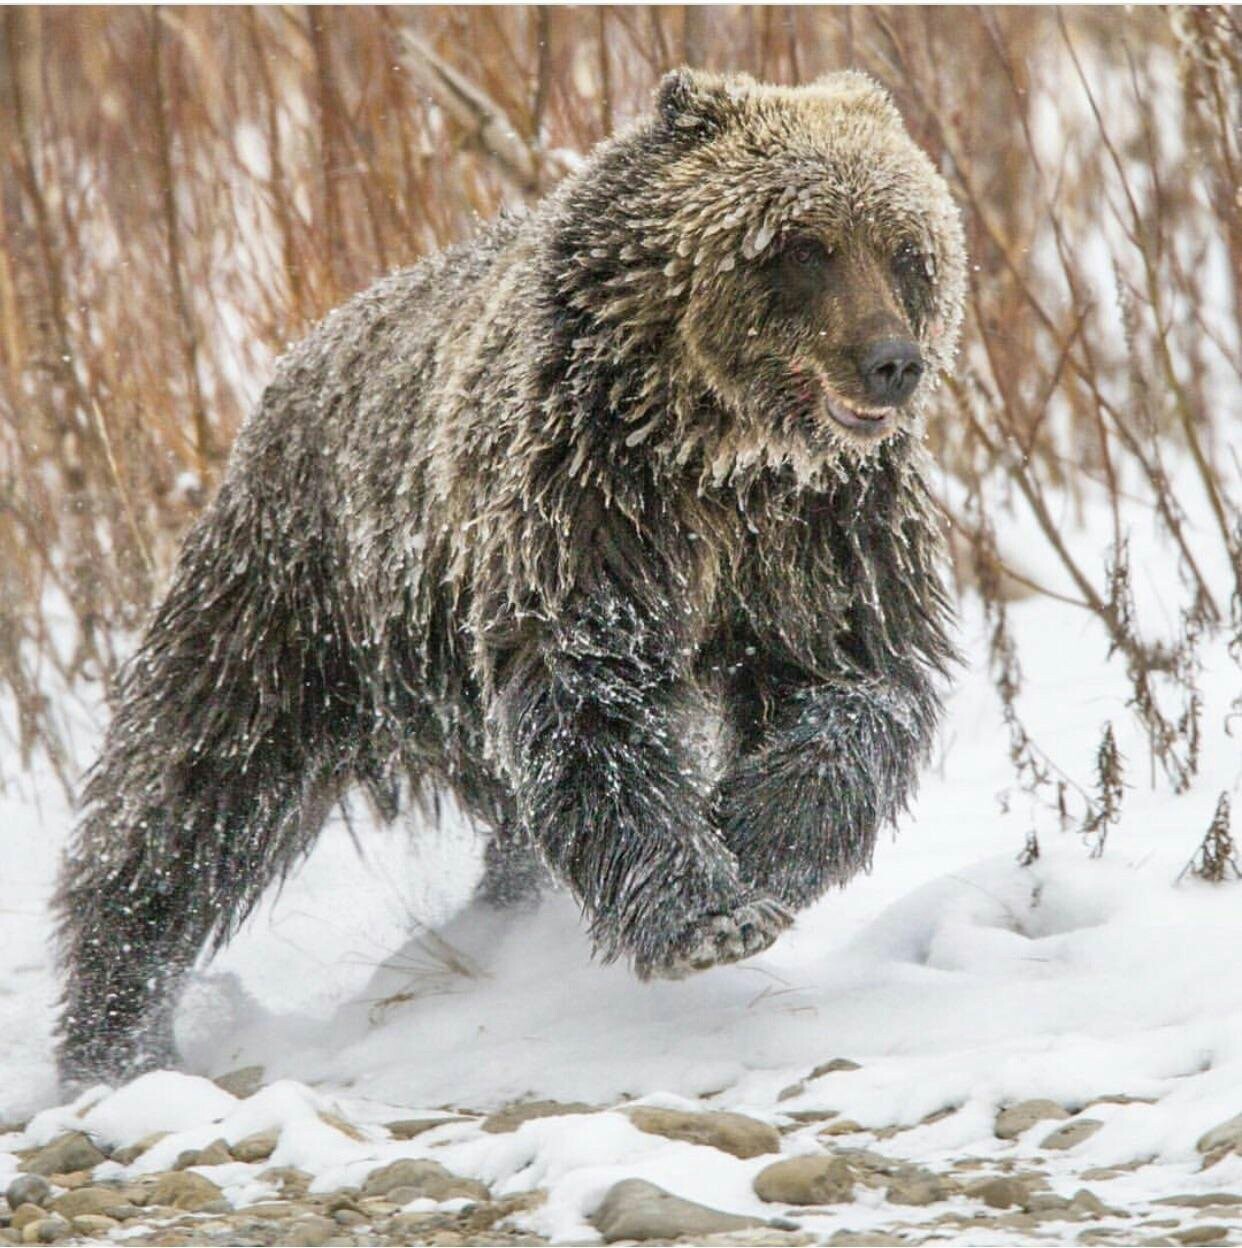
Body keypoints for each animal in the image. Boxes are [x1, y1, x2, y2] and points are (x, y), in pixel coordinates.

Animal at [55, 65, 973, 1083]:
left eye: (908, 250)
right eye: (803, 246)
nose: (890, 362)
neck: (720, 451)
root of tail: (301, 353)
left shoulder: (821, 541)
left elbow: (856, 693)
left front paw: (751, 836)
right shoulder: (589, 513)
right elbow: (592, 708)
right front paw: (705, 914)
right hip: (295, 592)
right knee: (192, 787)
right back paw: (115, 1033)